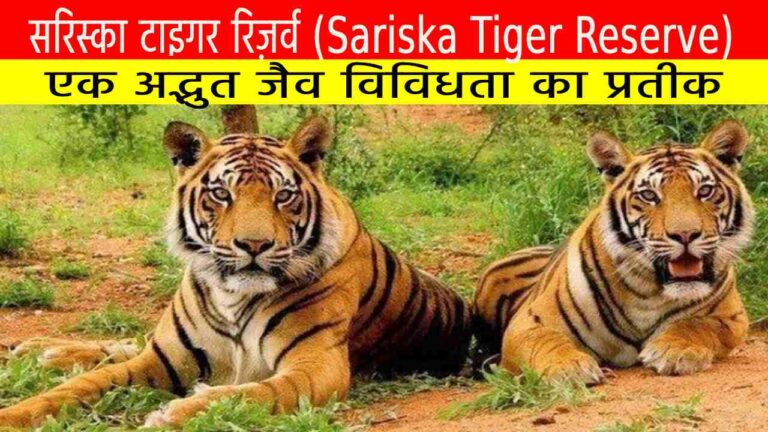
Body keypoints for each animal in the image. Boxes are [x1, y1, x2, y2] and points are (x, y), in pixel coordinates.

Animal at [0, 106, 472, 428]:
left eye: (283, 196)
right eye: (221, 194)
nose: (254, 245)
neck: (232, 294)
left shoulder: (316, 366)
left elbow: (249, 393)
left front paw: (174, 413)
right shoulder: (162, 359)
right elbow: (81, 387)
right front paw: (17, 413)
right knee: (128, 343)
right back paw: (44, 349)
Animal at [473, 120, 754, 384]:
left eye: (705, 191)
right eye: (649, 195)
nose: (685, 235)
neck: (647, 290)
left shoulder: (732, 317)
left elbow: (696, 324)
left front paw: (676, 350)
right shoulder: (528, 322)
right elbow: (546, 342)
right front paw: (568, 367)